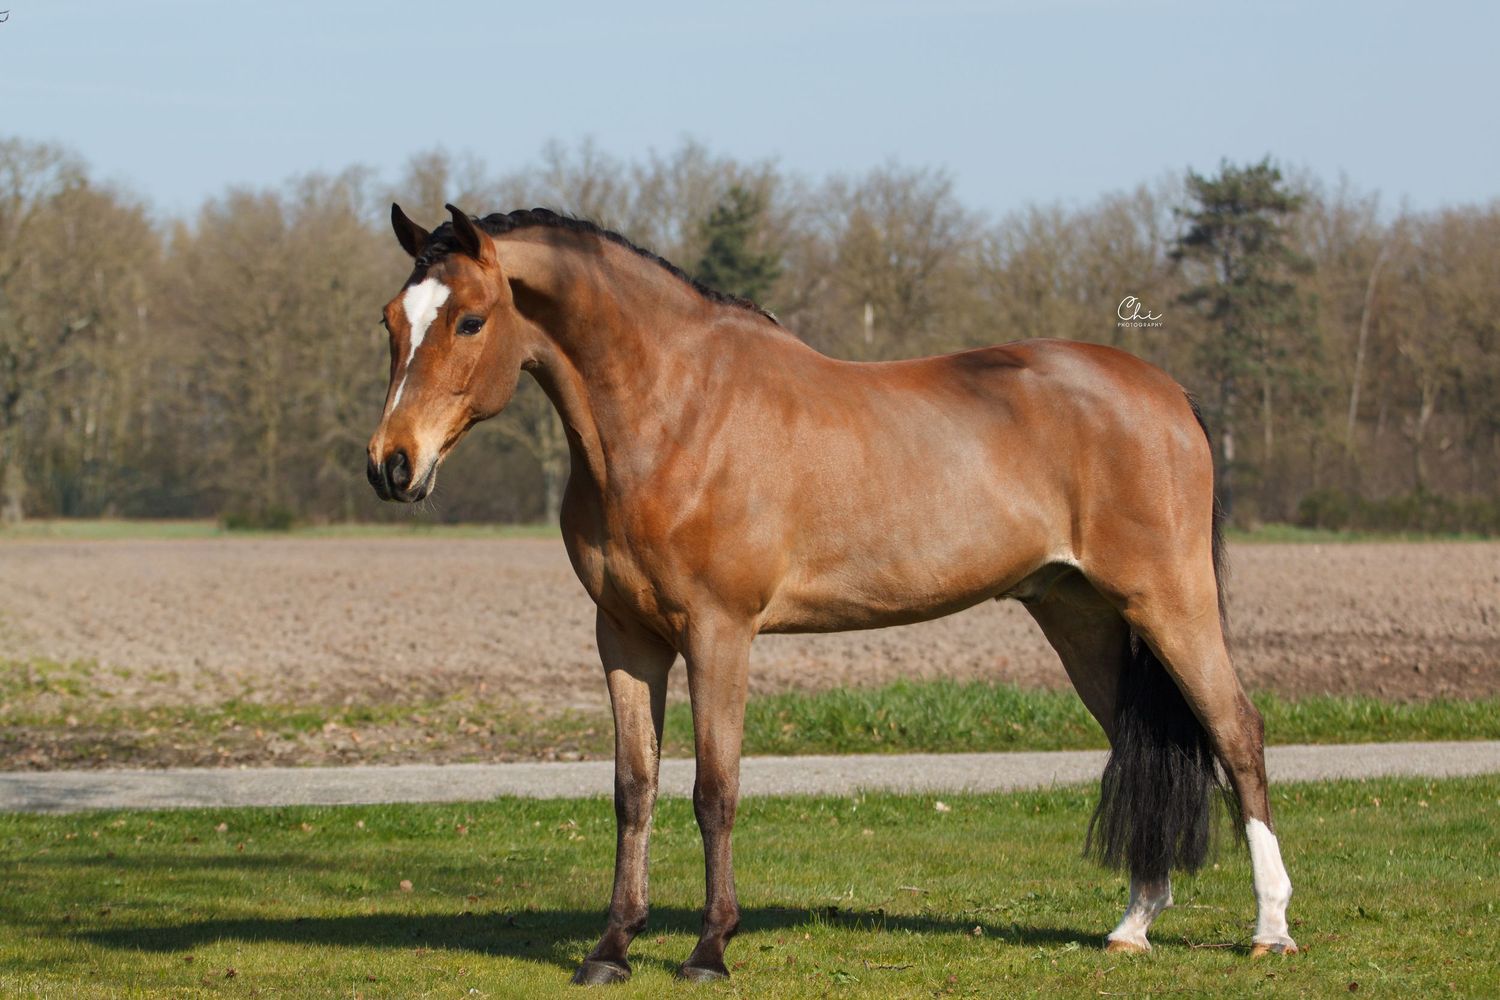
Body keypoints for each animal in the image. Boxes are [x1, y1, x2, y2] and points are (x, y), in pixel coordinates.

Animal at [365, 203, 1298, 985]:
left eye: (470, 319)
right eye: (391, 323)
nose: (391, 465)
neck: (675, 411)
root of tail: (1166, 393)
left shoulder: (719, 633)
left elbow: (714, 790)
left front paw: (709, 950)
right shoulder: (625, 637)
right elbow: (635, 789)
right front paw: (612, 948)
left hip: (1170, 603)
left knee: (1237, 733)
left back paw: (1271, 929)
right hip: (1081, 617)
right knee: (1139, 739)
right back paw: (1133, 925)